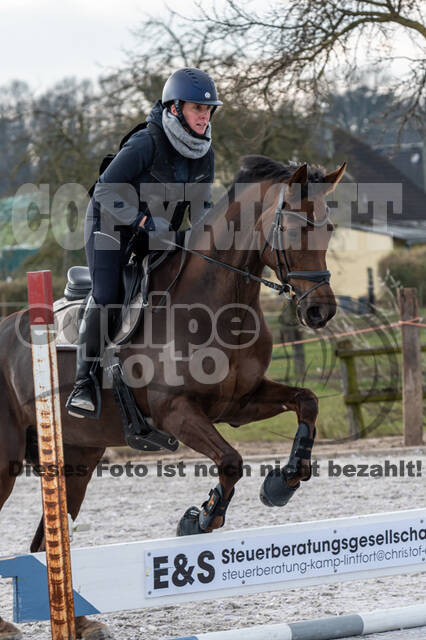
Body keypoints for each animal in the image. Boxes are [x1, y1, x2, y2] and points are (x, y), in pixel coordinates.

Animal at [0, 156, 346, 640]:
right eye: (294, 228)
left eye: (329, 227)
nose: (320, 311)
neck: (218, 305)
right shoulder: (175, 412)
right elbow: (231, 461)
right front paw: (200, 519)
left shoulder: (240, 403)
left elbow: (307, 402)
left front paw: (282, 482)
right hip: (5, 462)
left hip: (78, 461)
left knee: (45, 543)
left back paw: (81, 622)